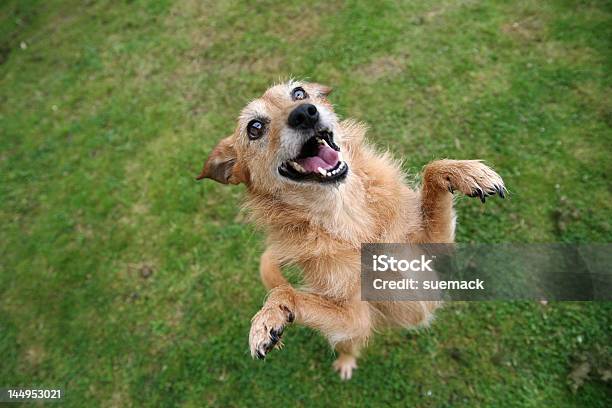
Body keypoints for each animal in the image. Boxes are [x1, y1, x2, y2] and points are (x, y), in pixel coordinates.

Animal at [197, 81, 506, 380]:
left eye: (299, 93)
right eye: (255, 128)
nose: (304, 113)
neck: (348, 215)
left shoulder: (434, 248)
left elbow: (432, 170)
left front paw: (467, 173)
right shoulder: (355, 317)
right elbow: (286, 293)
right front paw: (270, 315)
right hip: (350, 335)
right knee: (348, 345)